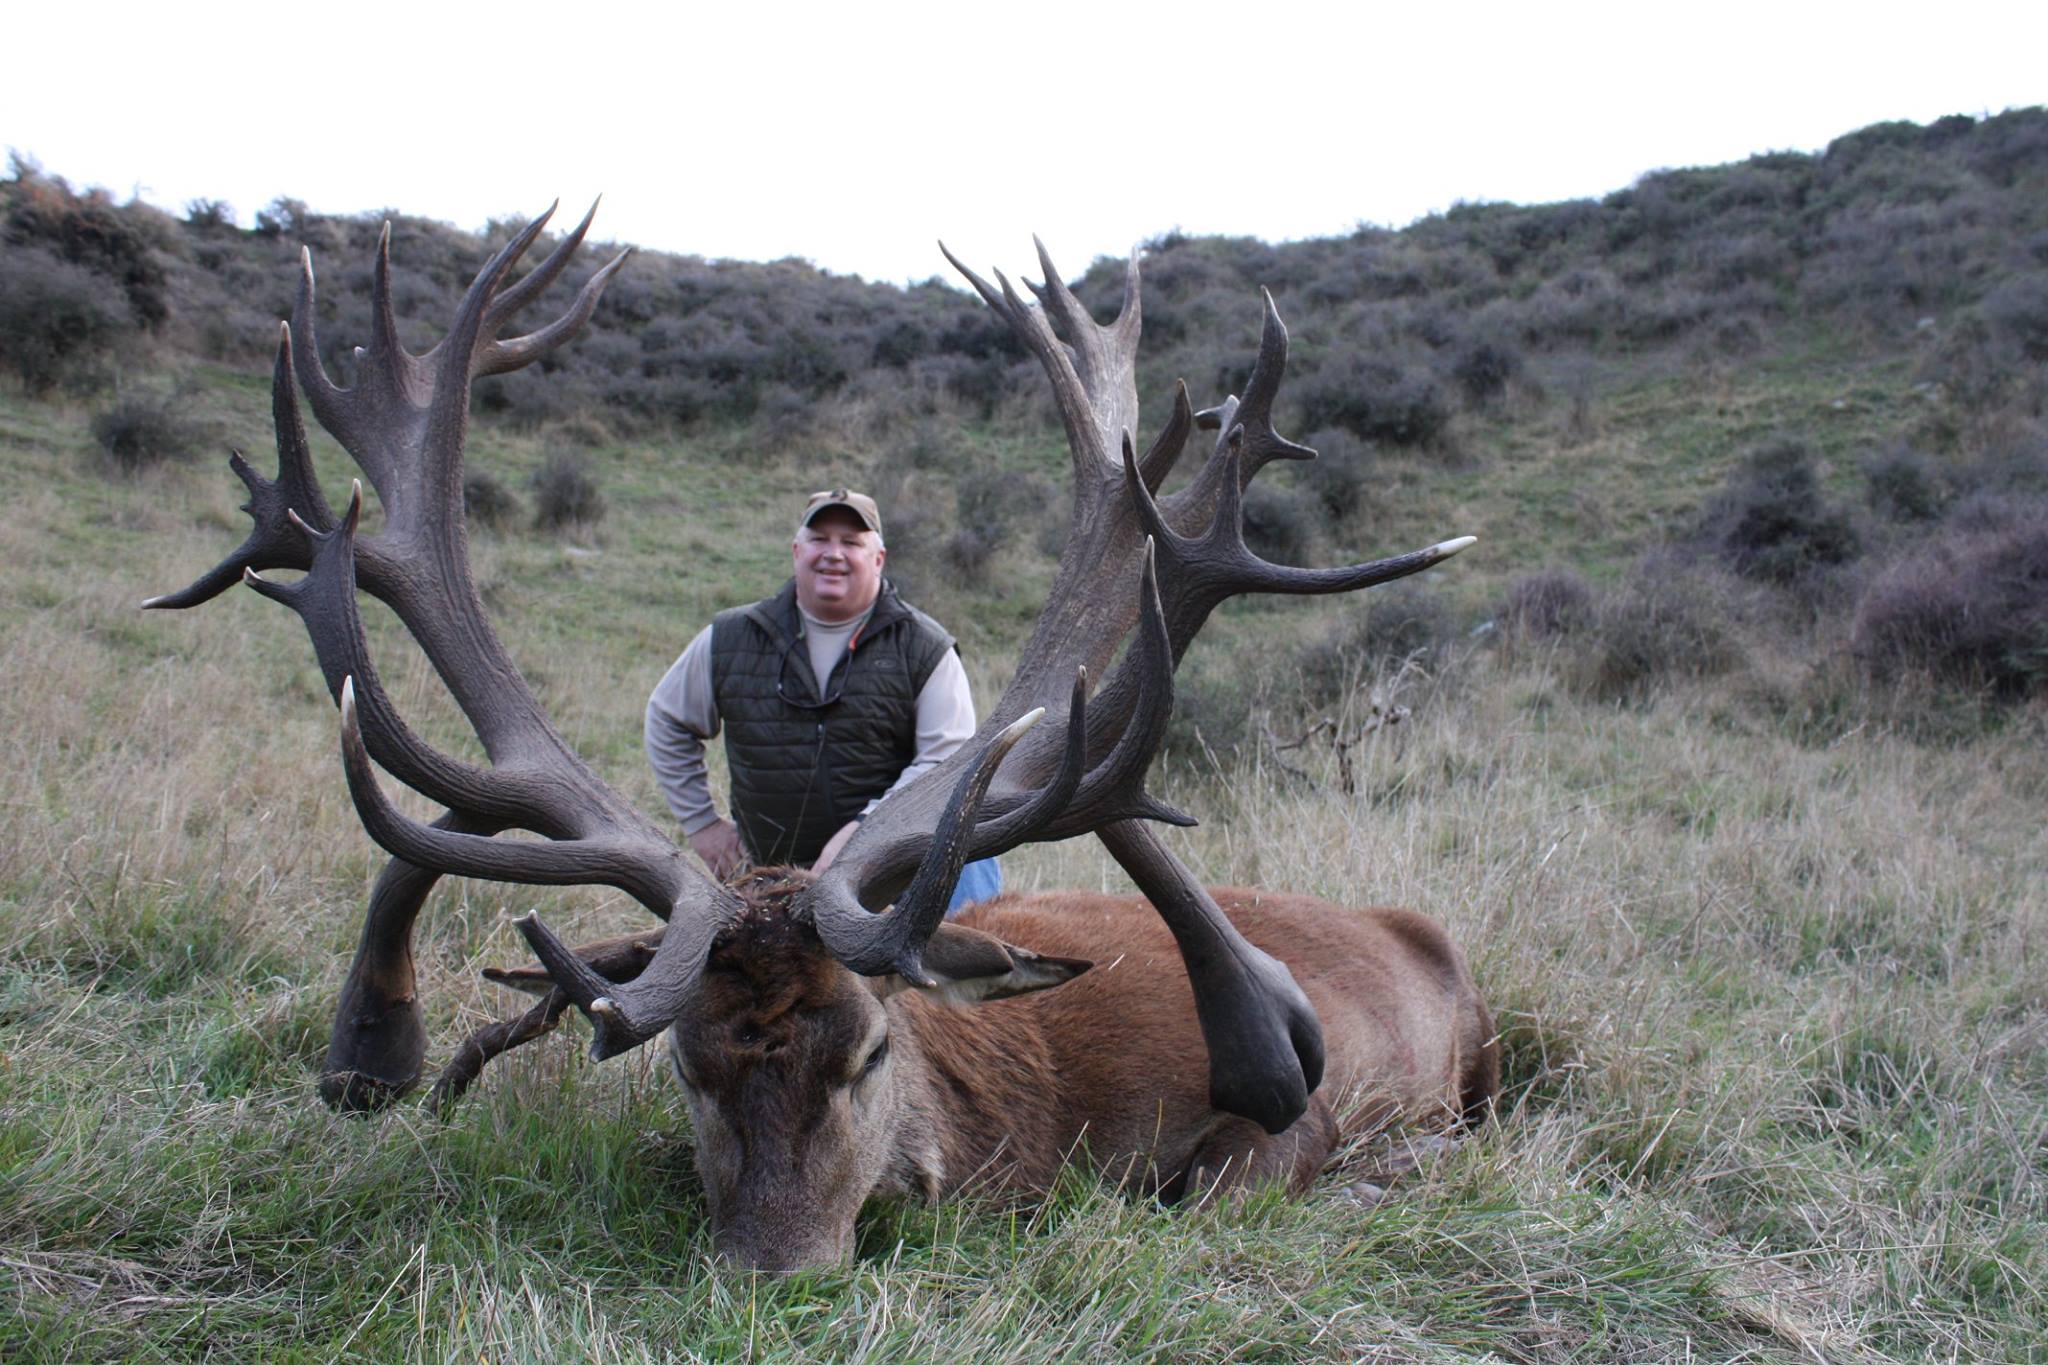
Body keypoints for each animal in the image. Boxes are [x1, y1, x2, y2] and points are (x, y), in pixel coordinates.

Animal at [147, 204, 1497, 1273]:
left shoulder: (1284, 1123)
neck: (1019, 1123)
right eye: (685, 1068)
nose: (775, 1269)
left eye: (869, 1052)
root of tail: (1417, 930)